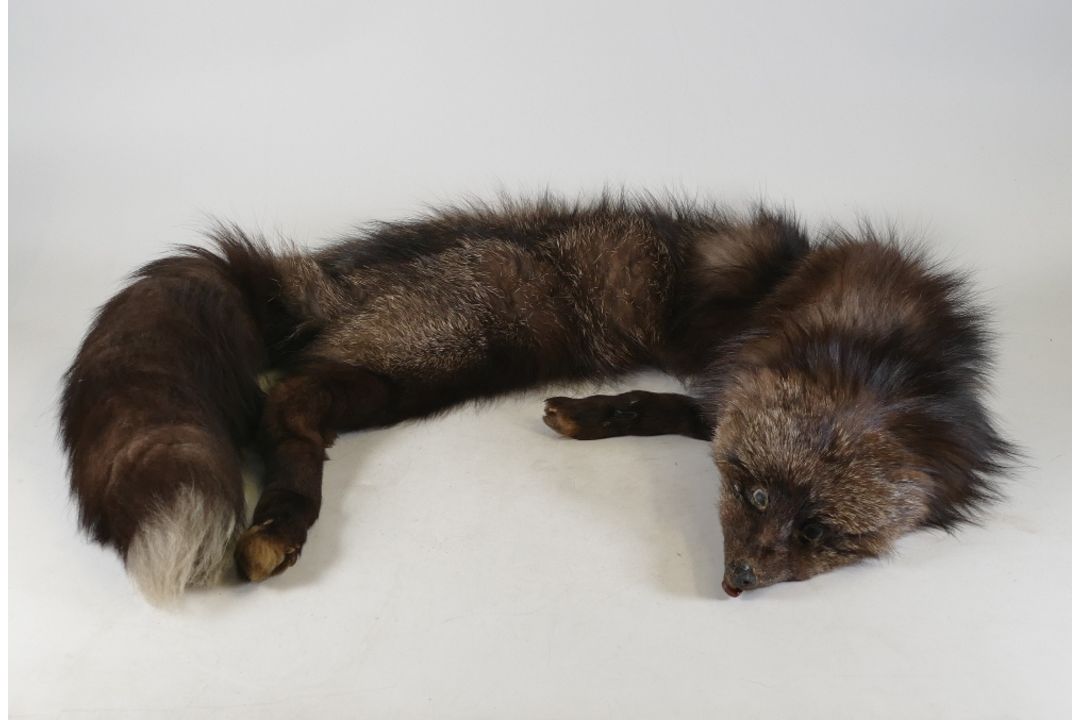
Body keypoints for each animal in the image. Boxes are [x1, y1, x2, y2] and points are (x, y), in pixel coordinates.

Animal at [59, 195, 1013, 603]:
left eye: (818, 533)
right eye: (753, 496)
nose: (738, 581)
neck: (882, 352)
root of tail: (329, 276)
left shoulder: (735, 381)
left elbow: (688, 415)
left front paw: (600, 415)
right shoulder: (745, 348)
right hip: (434, 355)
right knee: (286, 402)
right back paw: (281, 520)